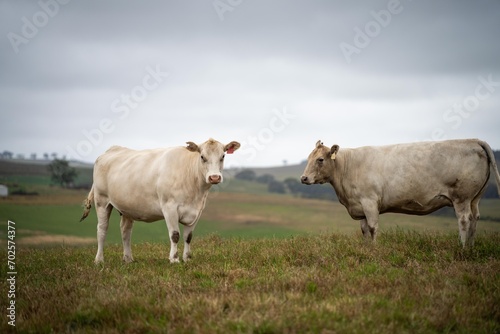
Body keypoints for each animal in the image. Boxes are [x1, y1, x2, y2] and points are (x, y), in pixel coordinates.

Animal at [79, 138, 240, 264]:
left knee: (126, 230)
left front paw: (187, 258)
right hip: (102, 201)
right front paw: (174, 259)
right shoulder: (169, 207)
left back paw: (128, 258)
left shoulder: (197, 211)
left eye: (223, 156)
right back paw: (99, 260)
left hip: (127, 207)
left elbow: (188, 237)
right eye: (202, 156)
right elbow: (175, 235)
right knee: (102, 229)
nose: (214, 177)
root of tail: (112, 149)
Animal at [300, 139, 500, 248]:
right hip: (475, 198)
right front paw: (366, 249)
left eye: (320, 159)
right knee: (475, 218)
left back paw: (463, 247)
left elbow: (372, 228)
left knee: (464, 220)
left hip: (462, 197)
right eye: (308, 158)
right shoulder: (360, 205)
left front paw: (375, 250)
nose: (303, 178)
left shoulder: (369, 201)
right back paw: (471, 247)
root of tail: (474, 140)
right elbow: (364, 230)